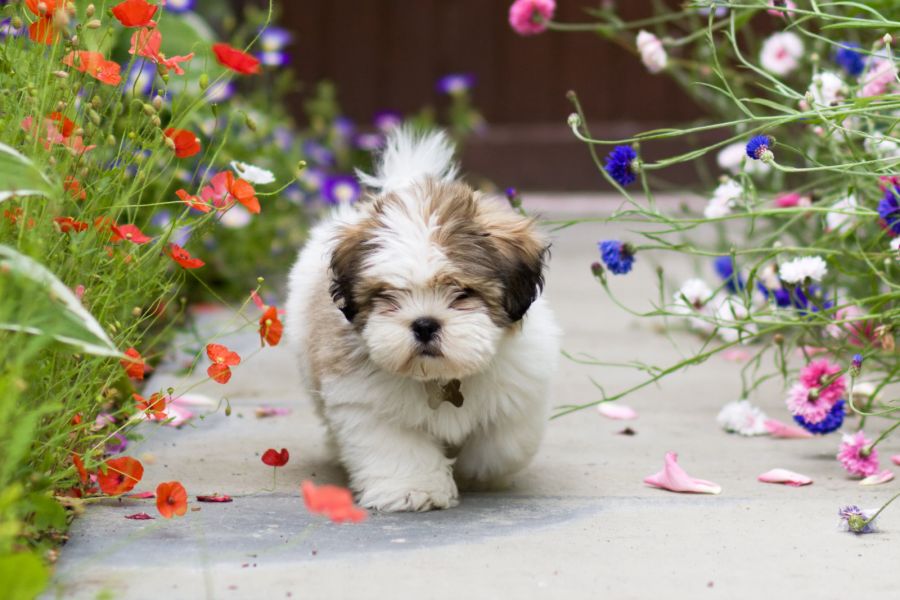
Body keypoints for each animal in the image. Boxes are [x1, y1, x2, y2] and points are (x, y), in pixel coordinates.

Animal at [284, 126, 560, 510]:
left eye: (461, 292)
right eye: (387, 295)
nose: (425, 324)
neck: (441, 377)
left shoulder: (521, 387)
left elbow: (503, 443)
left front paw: (478, 472)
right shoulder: (366, 402)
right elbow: (396, 447)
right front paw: (415, 489)